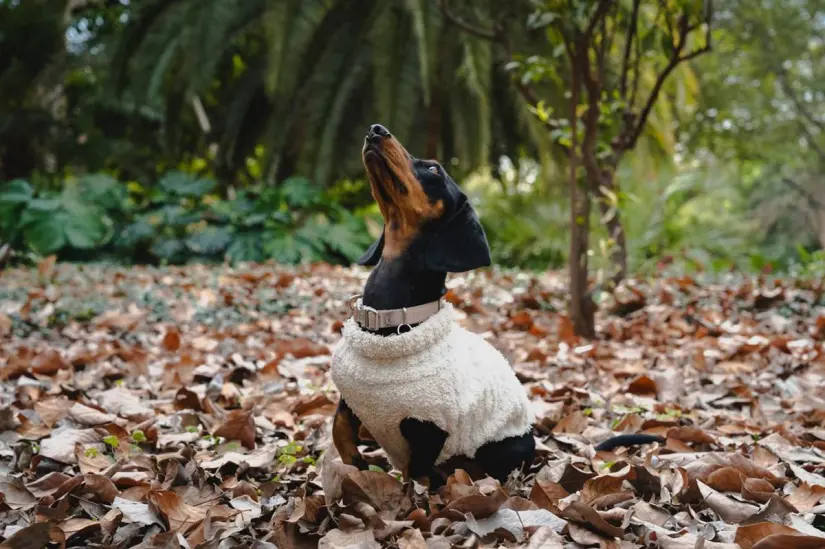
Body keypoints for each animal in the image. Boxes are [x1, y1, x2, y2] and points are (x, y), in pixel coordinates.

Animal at [328, 122, 536, 486]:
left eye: (434, 169)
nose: (376, 129)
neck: (389, 319)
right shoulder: (350, 398)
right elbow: (338, 428)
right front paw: (356, 462)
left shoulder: (429, 425)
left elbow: (416, 471)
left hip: (499, 446)